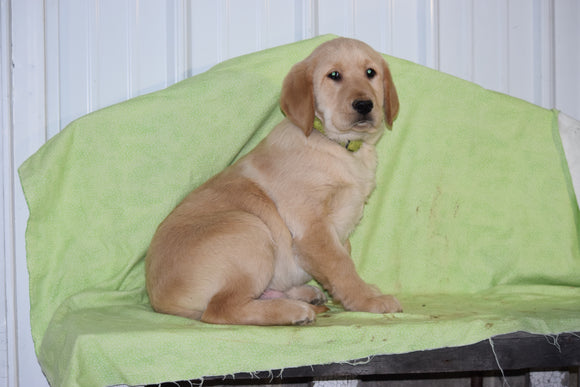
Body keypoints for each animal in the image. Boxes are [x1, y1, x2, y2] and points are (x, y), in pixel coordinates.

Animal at [145, 38, 402, 326]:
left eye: (371, 73)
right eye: (334, 75)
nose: (364, 105)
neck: (338, 146)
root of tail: (158, 299)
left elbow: (345, 259)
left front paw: (365, 292)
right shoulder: (312, 229)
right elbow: (342, 267)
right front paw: (368, 300)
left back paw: (302, 295)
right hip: (249, 228)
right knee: (221, 309)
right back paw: (294, 311)